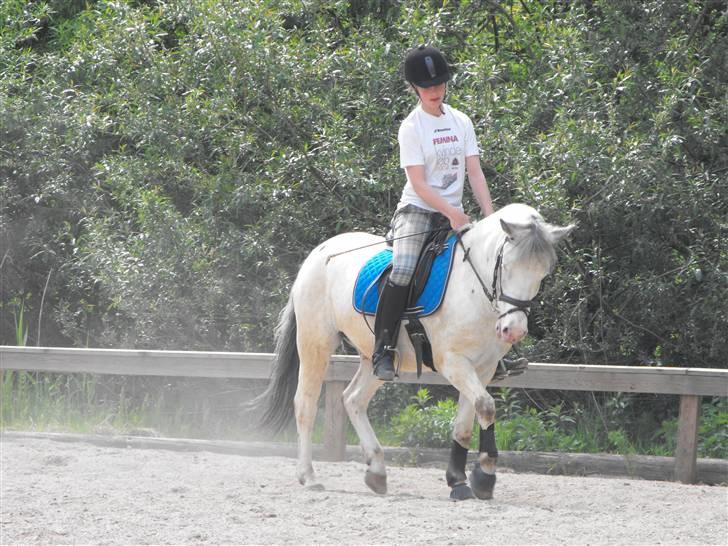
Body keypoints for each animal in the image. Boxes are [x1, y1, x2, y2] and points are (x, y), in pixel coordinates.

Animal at [249, 203, 574, 500]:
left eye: (542, 273)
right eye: (504, 267)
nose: (513, 330)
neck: (473, 287)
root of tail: (317, 254)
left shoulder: (482, 368)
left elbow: (467, 422)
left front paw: (461, 481)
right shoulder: (453, 362)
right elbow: (486, 406)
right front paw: (484, 477)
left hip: (374, 357)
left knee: (353, 399)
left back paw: (377, 471)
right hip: (315, 342)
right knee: (305, 403)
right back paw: (310, 476)